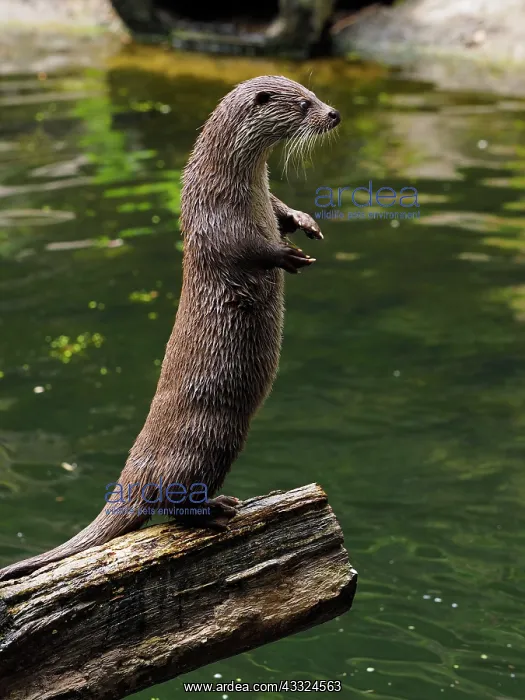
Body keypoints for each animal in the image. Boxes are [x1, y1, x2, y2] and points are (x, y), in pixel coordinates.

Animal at [0, 76, 340, 581]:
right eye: (303, 104)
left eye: (314, 94)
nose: (334, 114)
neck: (236, 186)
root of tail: (134, 470)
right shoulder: (215, 222)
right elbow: (246, 249)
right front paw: (286, 255)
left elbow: (281, 212)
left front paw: (303, 222)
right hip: (210, 436)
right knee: (170, 501)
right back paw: (217, 509)